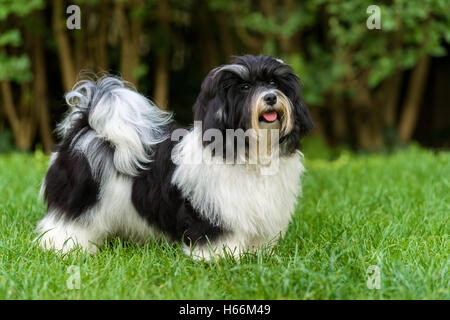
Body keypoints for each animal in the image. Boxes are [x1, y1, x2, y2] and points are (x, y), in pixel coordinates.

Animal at [36, 54, 312, 260]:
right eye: (245, 87)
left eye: (274, 83)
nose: (270, 97)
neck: (249, 151)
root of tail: (86, 125)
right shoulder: (214, 211)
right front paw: (221, 258)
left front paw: (257, 255)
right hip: (80, 197)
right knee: (66, 222)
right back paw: (63, 247)